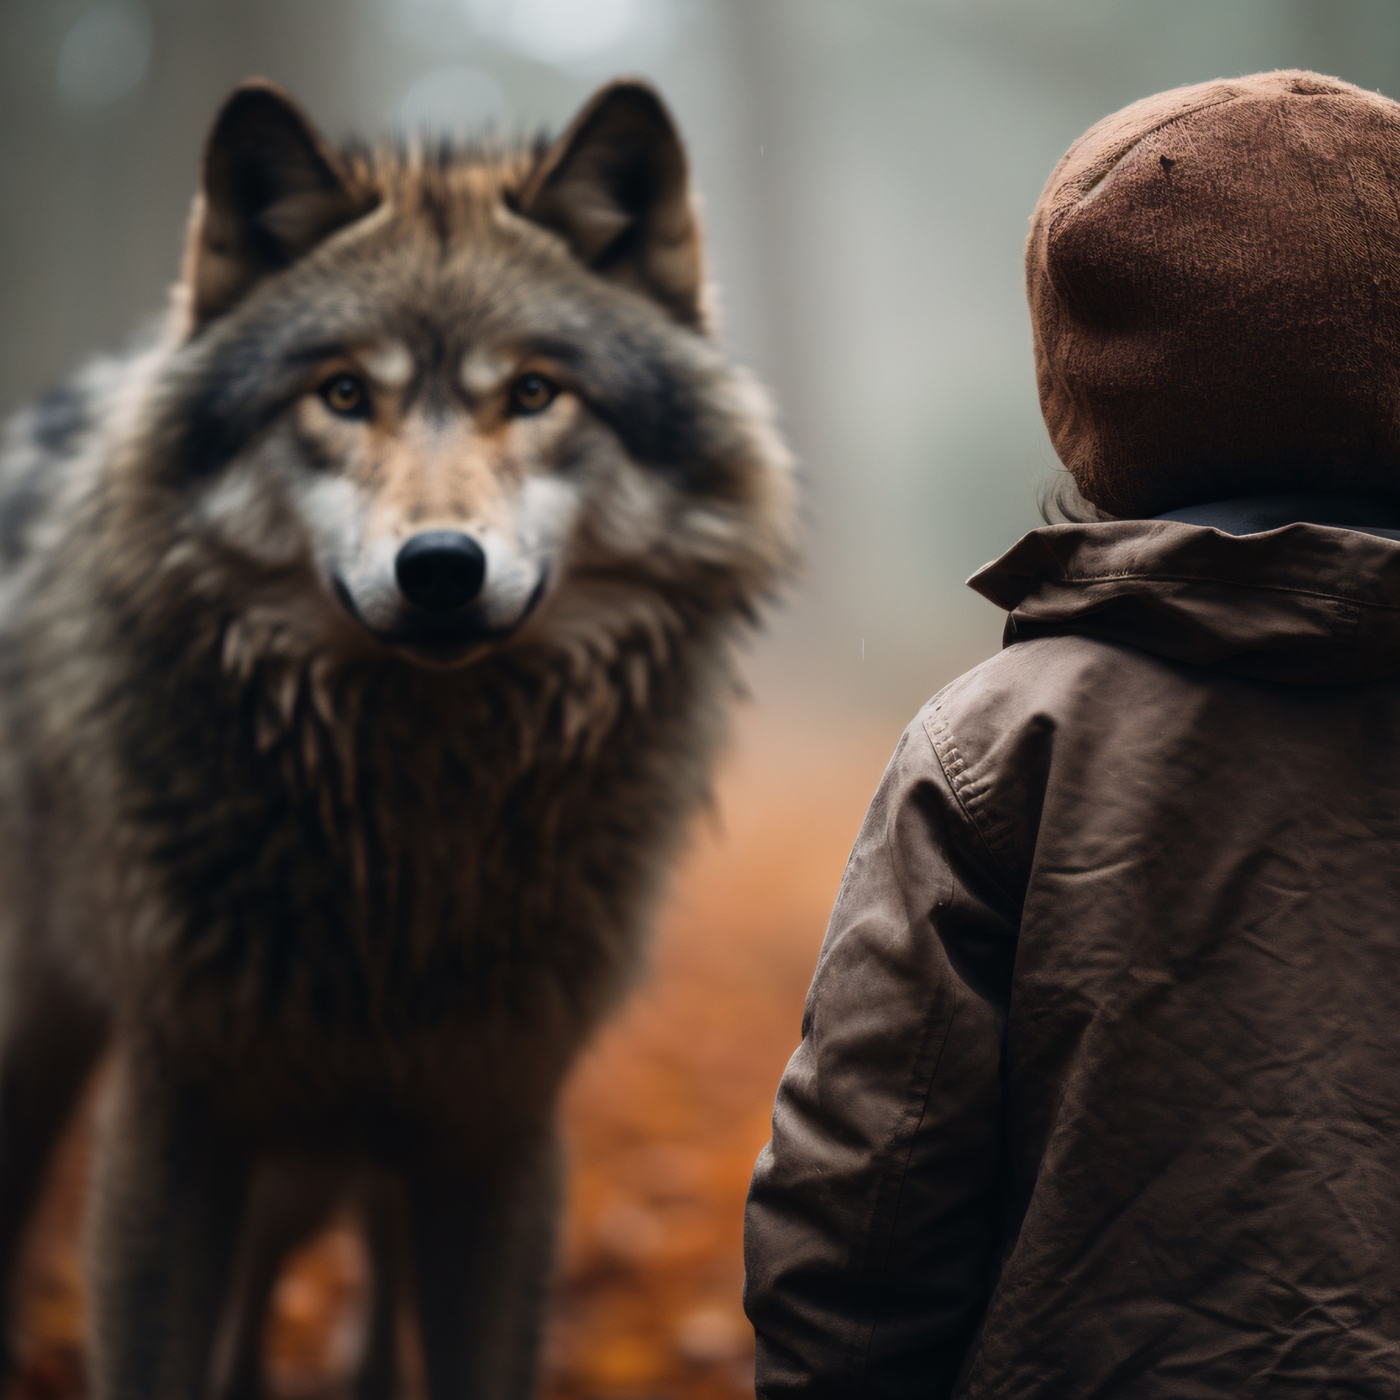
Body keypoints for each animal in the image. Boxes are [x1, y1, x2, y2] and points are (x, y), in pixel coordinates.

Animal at [0, 77, 793, 1400]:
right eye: (340, 393)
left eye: (533, 391)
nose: (437, 568)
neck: (413, 823)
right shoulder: (179, 1099)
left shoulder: (496, 1117)